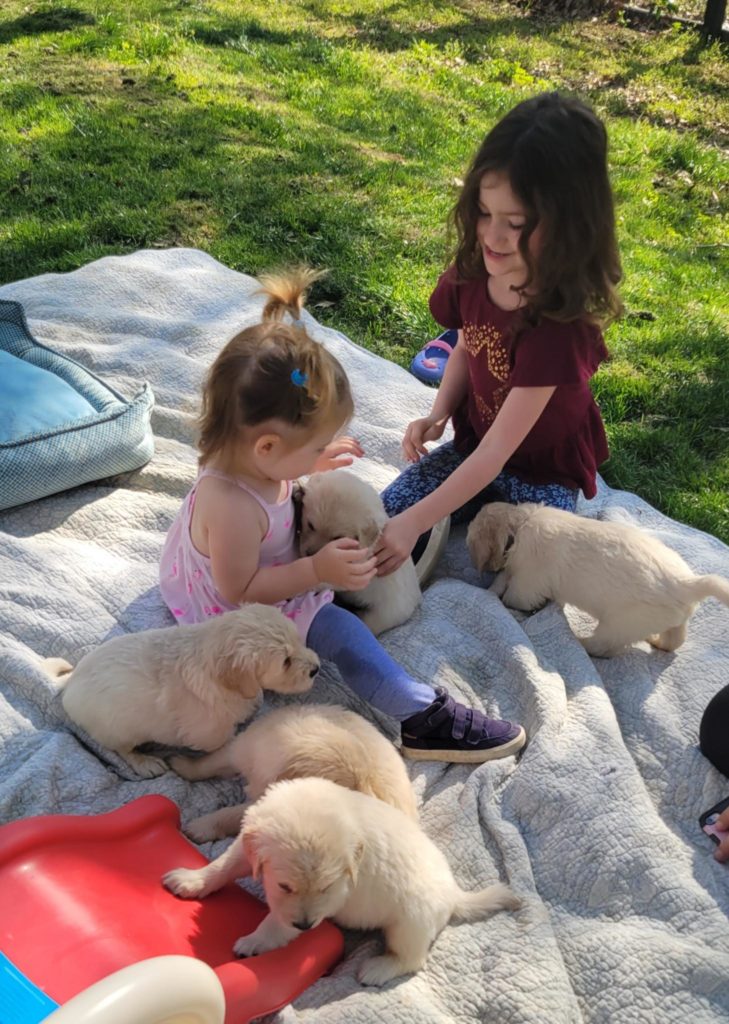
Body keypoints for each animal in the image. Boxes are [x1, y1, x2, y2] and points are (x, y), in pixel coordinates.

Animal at [43, 602, 319, 778]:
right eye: (285, 662)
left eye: (299, 640)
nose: (316, 669)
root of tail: (70, 683)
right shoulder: (208, 731)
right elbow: (222, 744)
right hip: (118, 729)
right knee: (121, 750)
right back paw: (145, 763)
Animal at [163, 778, 518, 987]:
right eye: (284, 886)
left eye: (324, 887)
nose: (306, 926)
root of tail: (454, 894)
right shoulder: (250, 842)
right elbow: (225, 864)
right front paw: (191, 879)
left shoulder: (336, 894)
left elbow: (277, 922)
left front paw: (254, 941)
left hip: (410, 922)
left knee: (412, 959)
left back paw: (376, 969)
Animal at [296, 468, 421, 630]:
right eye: (310, 525)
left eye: (337, 538)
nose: (310, 554)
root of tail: (417, 599)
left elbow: (320, 580)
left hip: (383, 616)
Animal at [466, 501, 729, 659]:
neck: (520, 525)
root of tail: (687, 585)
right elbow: (504, 577)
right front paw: (493, 588)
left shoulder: (529, 581)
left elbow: (515, 595)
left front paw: (504, 602)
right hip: (675, 619)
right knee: (675, 639)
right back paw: (657, 641)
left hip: (619, 624)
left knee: (602, 646)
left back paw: (580, 642)